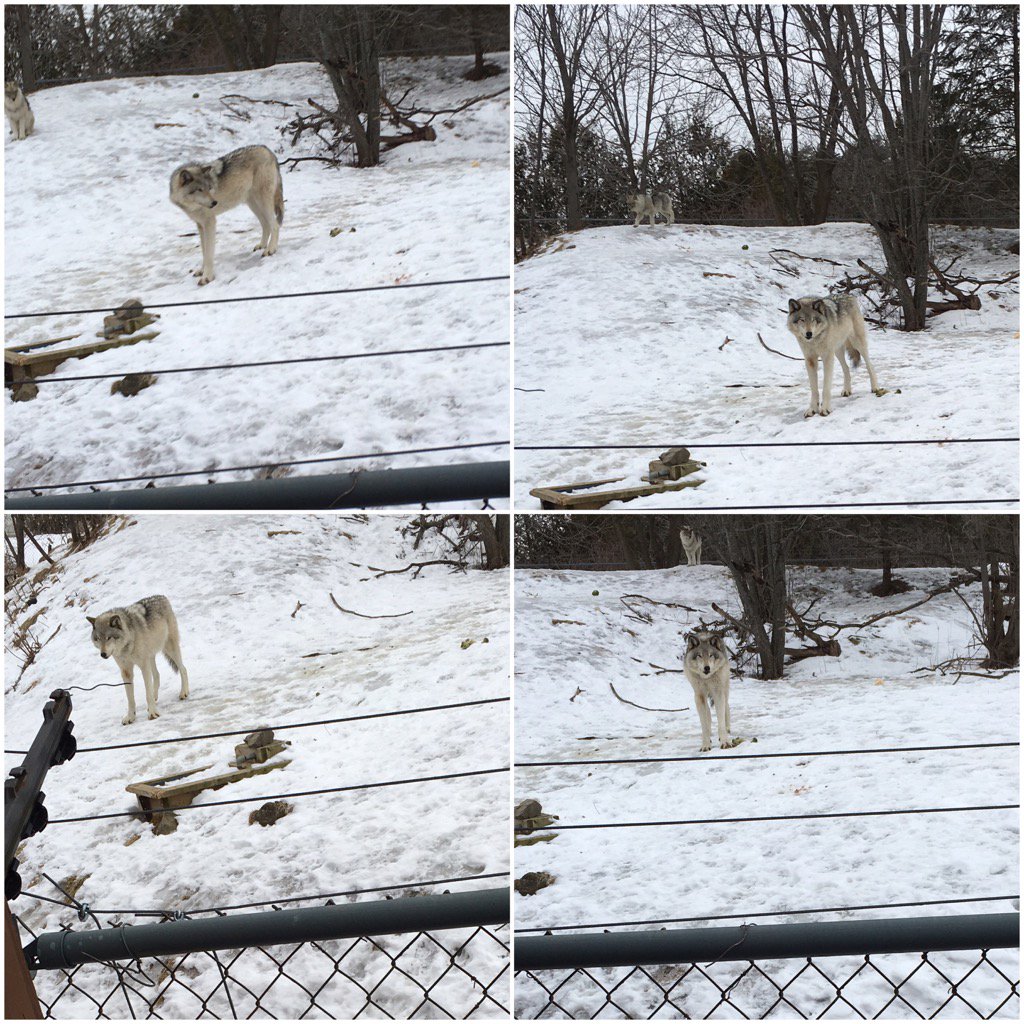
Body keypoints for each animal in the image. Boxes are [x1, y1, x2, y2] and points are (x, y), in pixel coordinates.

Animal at [87, 595, 190, 725]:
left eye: (109, 637)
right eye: (98, 639)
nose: (103, 654)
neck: (127, 644)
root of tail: (162, 597)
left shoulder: (143, 666)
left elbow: (147, 694)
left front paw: (152, 713)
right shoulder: (126, 672)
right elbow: (130, 699)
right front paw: (131, 717)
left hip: (169, 649)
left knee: (183, 669)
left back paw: (183, 693)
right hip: (151, 656)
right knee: (157, 675)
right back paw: (155, 697)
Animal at [169, 144, 283, 285]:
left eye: (209, 188)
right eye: (199, 190)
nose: (214, 202)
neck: (191, 206)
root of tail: (267, 149)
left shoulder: (210, 223)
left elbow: (208, 253)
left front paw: (207, 277)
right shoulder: (200, 225)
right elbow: (204, 252)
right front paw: (201, 271)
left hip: (263, 201)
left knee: (275, 225)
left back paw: (271, 249)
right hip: (253, 204)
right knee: (266, 224)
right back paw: (262, 245)